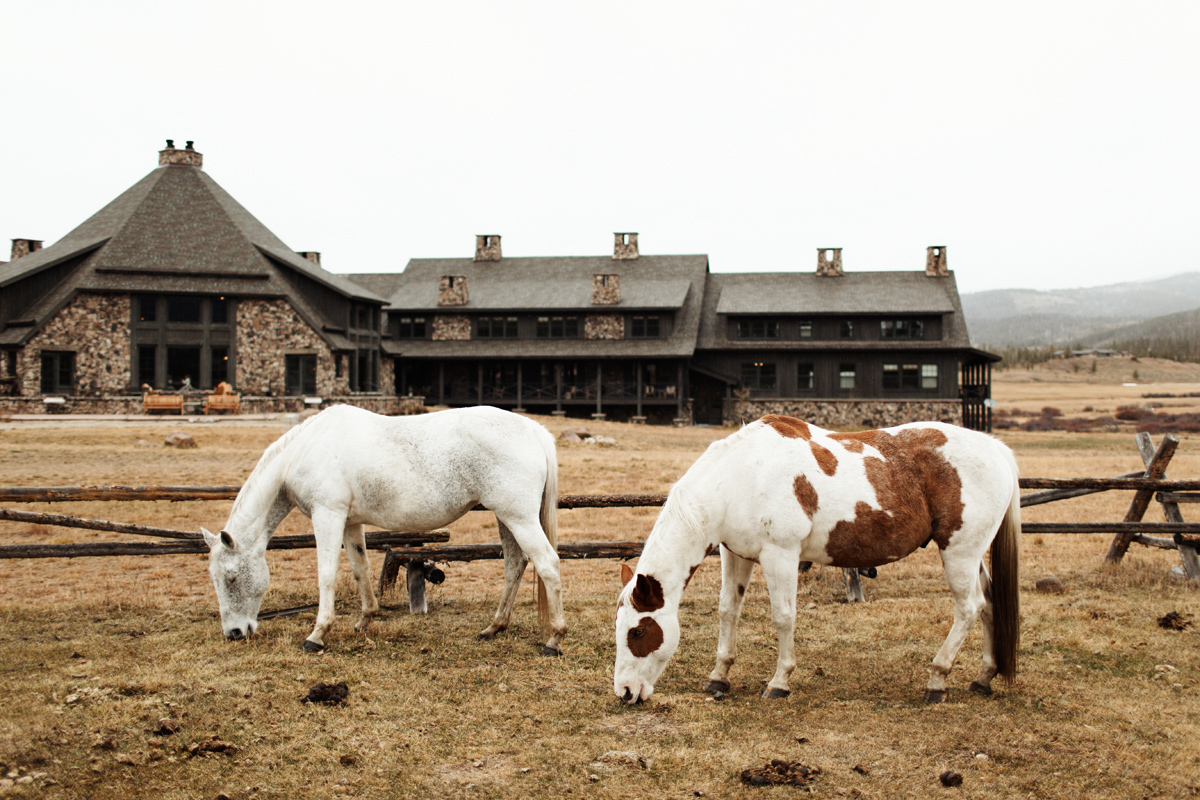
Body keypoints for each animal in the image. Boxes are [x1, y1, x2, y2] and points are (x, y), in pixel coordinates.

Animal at [202, 407, 566, 657]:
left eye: (231, 578)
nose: (234, 632)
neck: (305, 451)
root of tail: (534, 431)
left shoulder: (328, 516)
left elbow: (327, 575)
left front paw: (317, 635)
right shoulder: (350, 522)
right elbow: (359, 569)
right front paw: (365, 621)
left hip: (518, 518)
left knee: (547, 565)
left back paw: (553, 639)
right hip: (507, 519)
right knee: (515, 566)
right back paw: (494, 627)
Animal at [619, 417, 1022, 705]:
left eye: (638, 631)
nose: (624, 692)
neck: (742, 476)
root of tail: (996, 448)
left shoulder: (781, 555)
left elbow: (783, 617)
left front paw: (779, 682)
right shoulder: (735, 555)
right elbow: (727, 611)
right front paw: (719, 677)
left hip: (959, 553)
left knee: (969, 608)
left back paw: (937, 680)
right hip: (972, 555)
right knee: (988, 605)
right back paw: (983, 677)